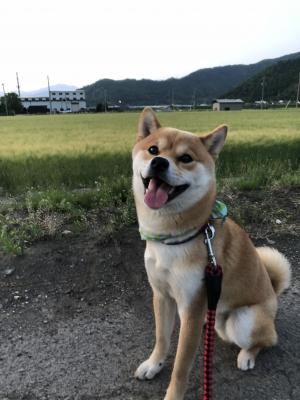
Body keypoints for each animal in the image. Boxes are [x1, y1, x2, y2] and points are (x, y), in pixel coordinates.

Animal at [131, 107, 290, 400]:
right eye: (152, 149)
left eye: (185, 158)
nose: (159, 162)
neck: (173, 239)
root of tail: (273, 293)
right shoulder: (161, 295)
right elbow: (162, 339)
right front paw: (153, 364)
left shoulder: (191, 310)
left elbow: (181, 366)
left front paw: (173, 395)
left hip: (242, 322)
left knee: (267, 340)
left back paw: (248, 356)